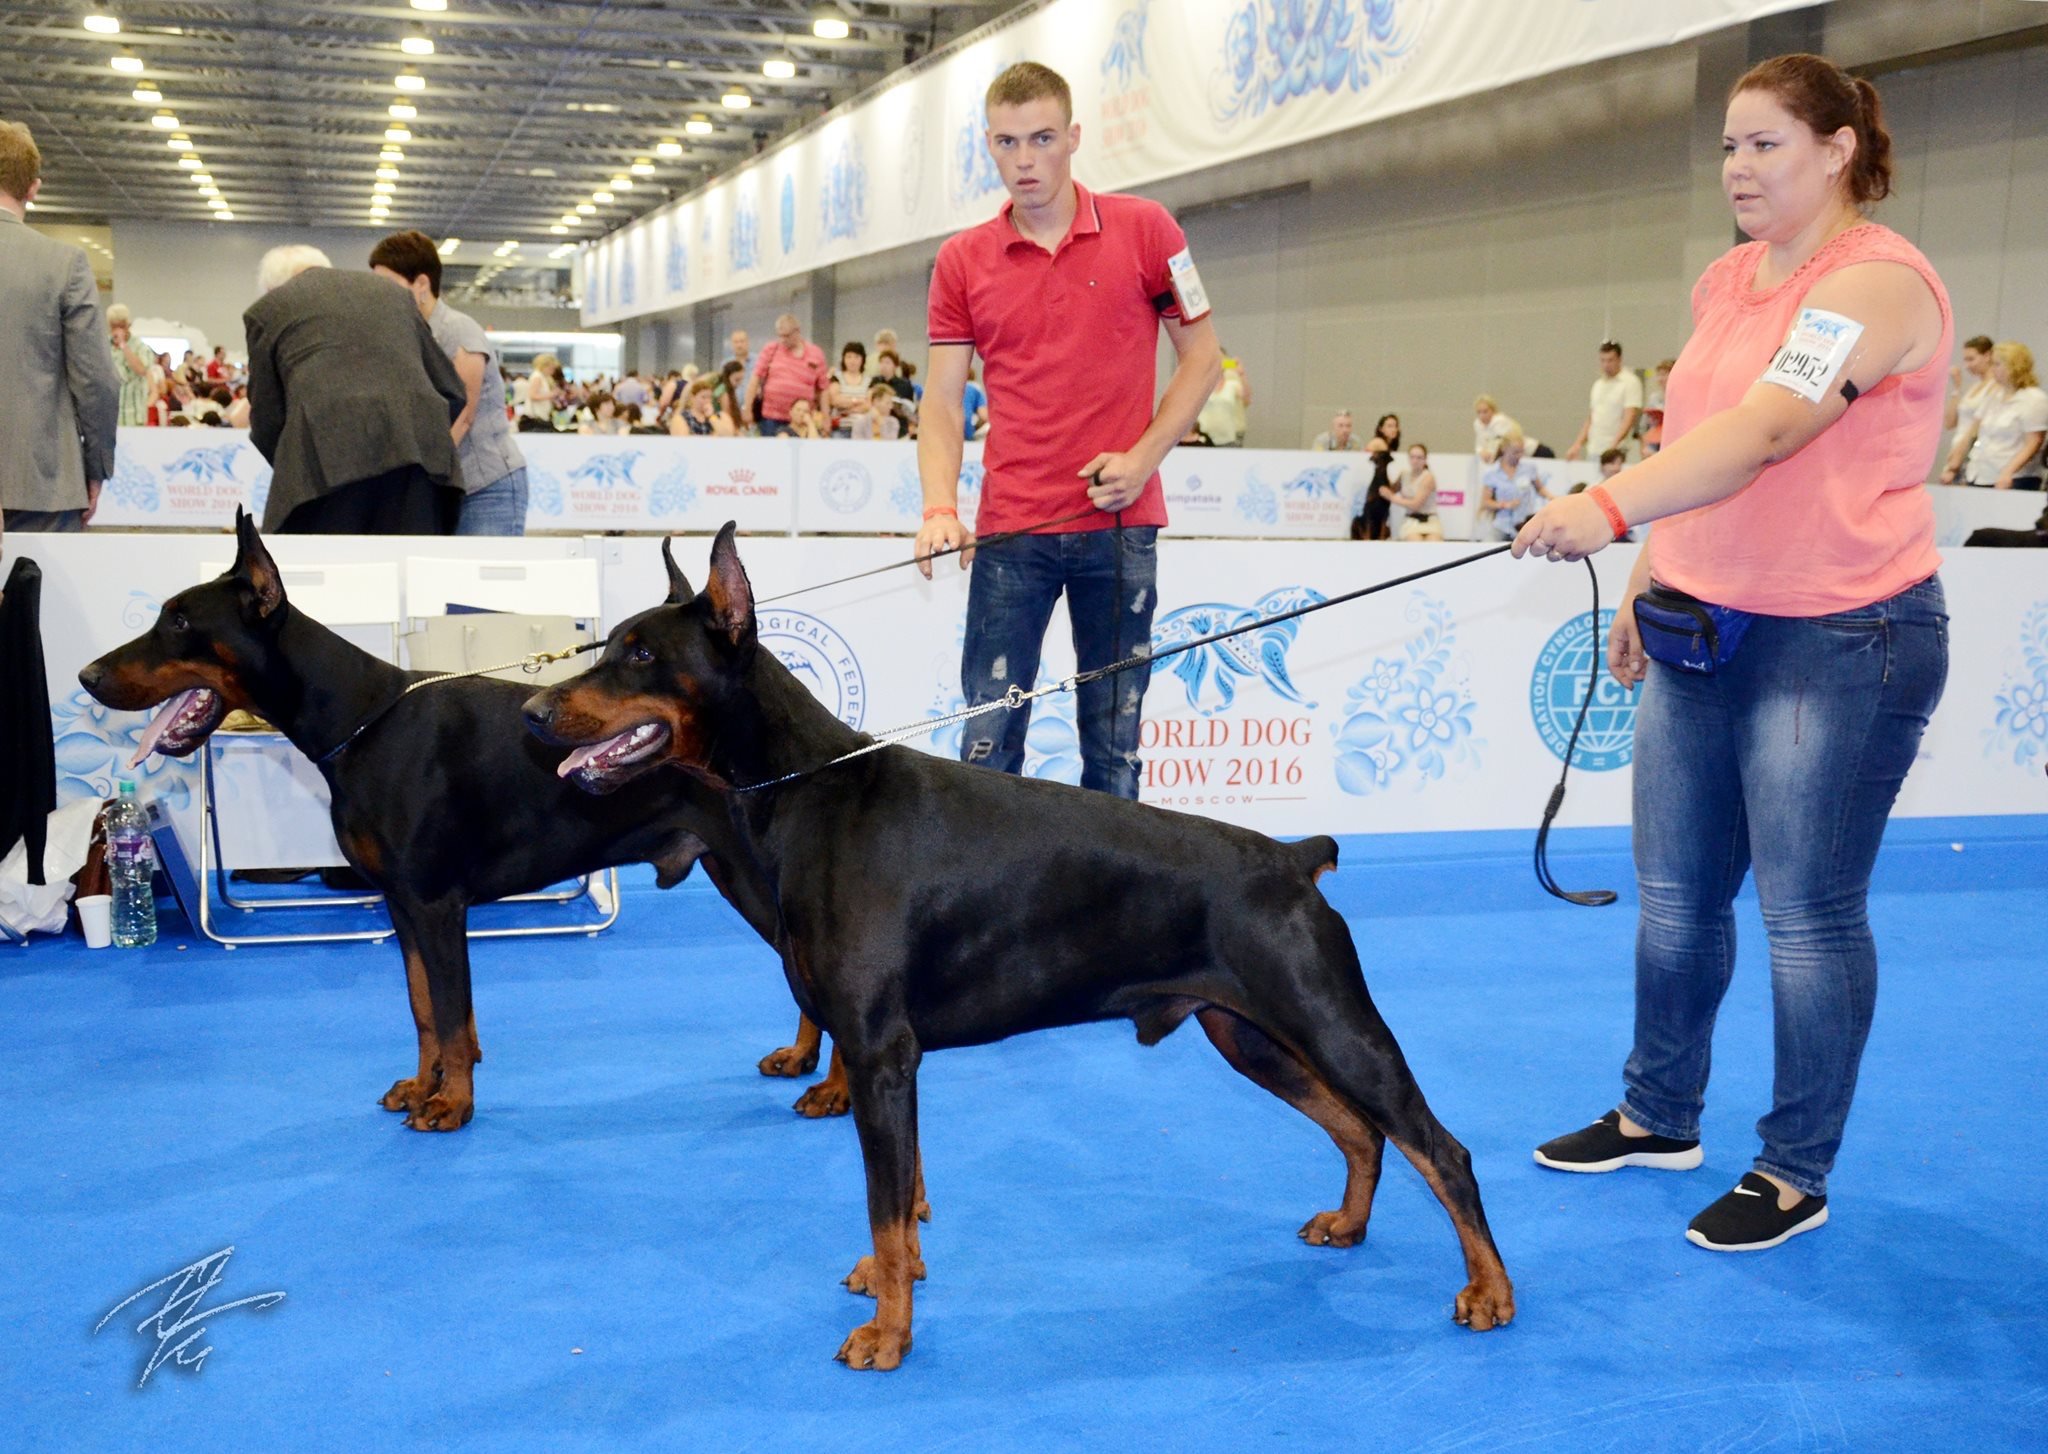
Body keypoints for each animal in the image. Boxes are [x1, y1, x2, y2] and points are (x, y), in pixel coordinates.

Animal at [72, 518, 839, 1130]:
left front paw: (452, 1104)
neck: (361, 721)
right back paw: (804, 1059)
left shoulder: (438, 902)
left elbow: (448, 1006)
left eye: (179, 623)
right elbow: (425, 1009)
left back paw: (831, 1084)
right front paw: (424, 1084)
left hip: (764, 884)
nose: (87, 676)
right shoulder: (404, 903)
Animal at [524, 528, 1523, 1376]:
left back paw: (1490, 1292)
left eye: (640, 655)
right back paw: (1348, 1226)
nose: (532, 712)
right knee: (1361, 1130)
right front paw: (895, 1283)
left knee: (1441, 1149)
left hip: (1329, 1020)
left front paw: (887, 1334)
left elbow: (886, 1205)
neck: (807, 789)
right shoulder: (888, 1058)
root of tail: (1295, 858)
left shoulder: (880, 1053)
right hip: (1249, 1033)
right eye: (610, 644)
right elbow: (904, 1201)